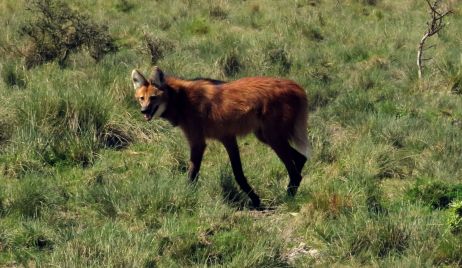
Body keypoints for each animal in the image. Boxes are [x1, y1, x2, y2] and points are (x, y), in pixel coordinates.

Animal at [131, 66, 310, 207]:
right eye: (141, 98)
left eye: (153, 97)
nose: (144, 111)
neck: (181, 100)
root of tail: (296, 87)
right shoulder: (227, 138)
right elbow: (238, 173)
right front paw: (255, 199)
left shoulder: (199, 141)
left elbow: (193, 173)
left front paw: (186, 196)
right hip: (264, 135)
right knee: (301, 158)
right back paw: (291, 191)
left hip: (272, 136)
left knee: (295, 170)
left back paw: (288, 197)